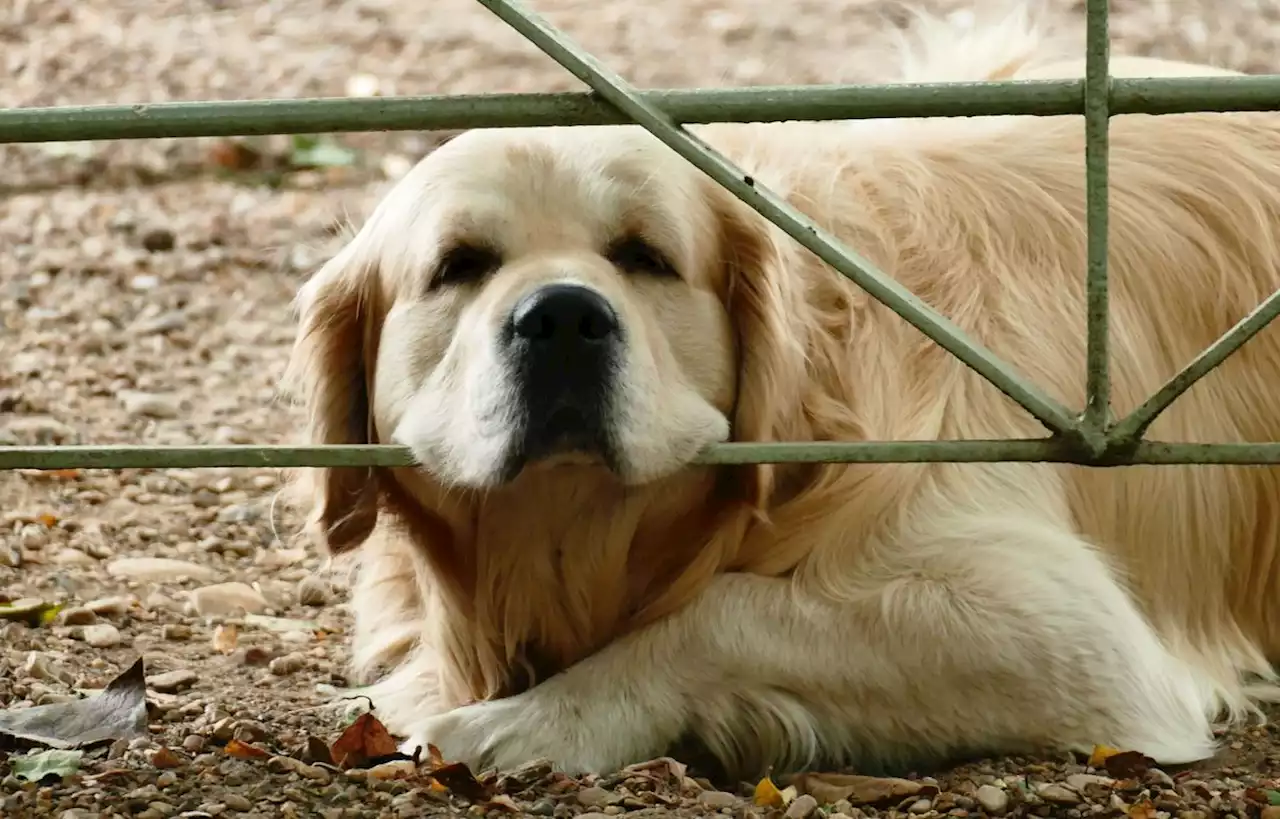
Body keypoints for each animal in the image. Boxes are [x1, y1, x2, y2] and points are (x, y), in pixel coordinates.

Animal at [285, 6, 1280, 778]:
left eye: (646, 256)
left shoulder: (1058, 624)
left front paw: (534, 721)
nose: (562, 317)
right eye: (459, 265)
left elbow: (726, 612)